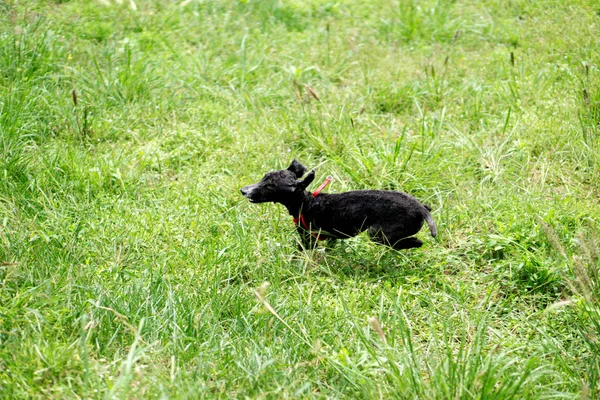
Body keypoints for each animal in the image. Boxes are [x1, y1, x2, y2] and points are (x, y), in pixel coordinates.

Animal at [241, 160, 438, 250]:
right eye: (264, 177)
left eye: (269, 187)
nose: (243, 190)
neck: (307, 203)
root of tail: (422, 209)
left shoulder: (308, 238)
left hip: (378, 233)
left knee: (412, 242)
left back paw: (413, 243)